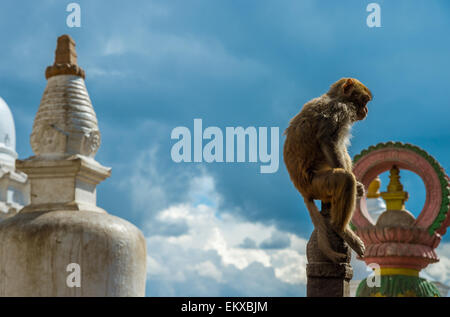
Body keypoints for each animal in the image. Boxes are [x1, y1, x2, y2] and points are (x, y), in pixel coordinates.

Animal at [284, 77, 370, 262]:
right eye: (364, 101)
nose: (366, 110)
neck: (336, 97)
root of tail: (303, 191)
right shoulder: (339, 110)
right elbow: (328, 141)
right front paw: (357, 187)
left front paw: (360, 187)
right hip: (318, 185)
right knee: (345, 179)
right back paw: (340, 229)